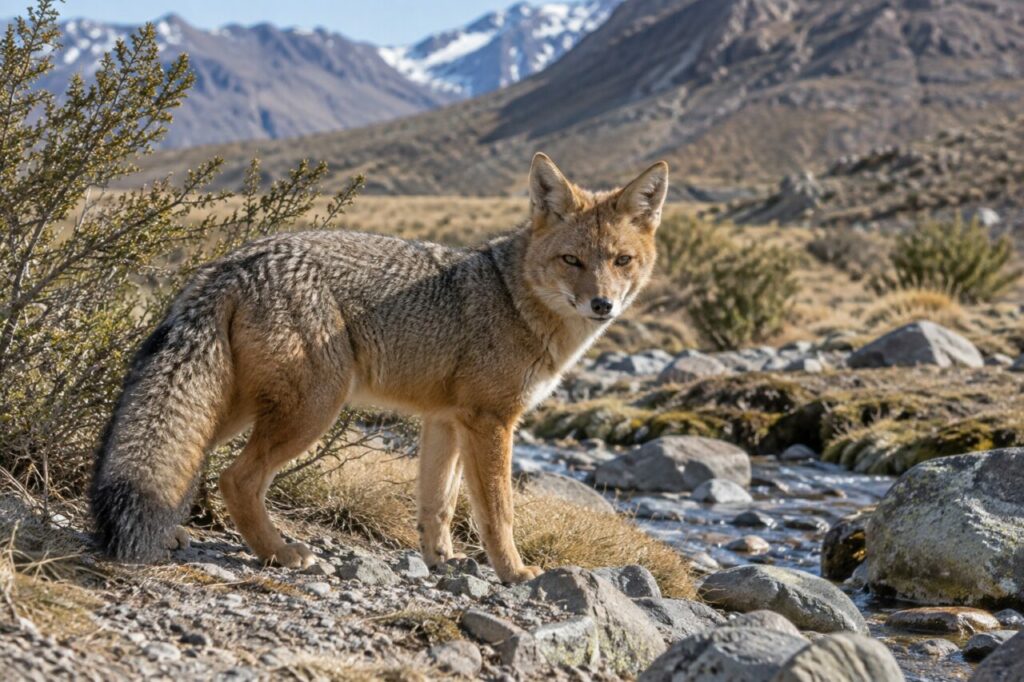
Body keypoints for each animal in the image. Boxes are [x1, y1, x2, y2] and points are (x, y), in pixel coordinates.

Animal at [91, 153, 668, 583]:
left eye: (621, 261)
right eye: (572, 261)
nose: (602, 305)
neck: (515, 298)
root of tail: (241, 257)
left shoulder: (445, 421)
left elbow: (438, 503)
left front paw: (441, 560)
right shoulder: (492, 422)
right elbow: (497, 512)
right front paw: (514, 572)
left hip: (239, 407)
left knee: (186, 458)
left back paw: (173, 532)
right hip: (312, 410)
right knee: (236, 479)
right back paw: (281, 552)